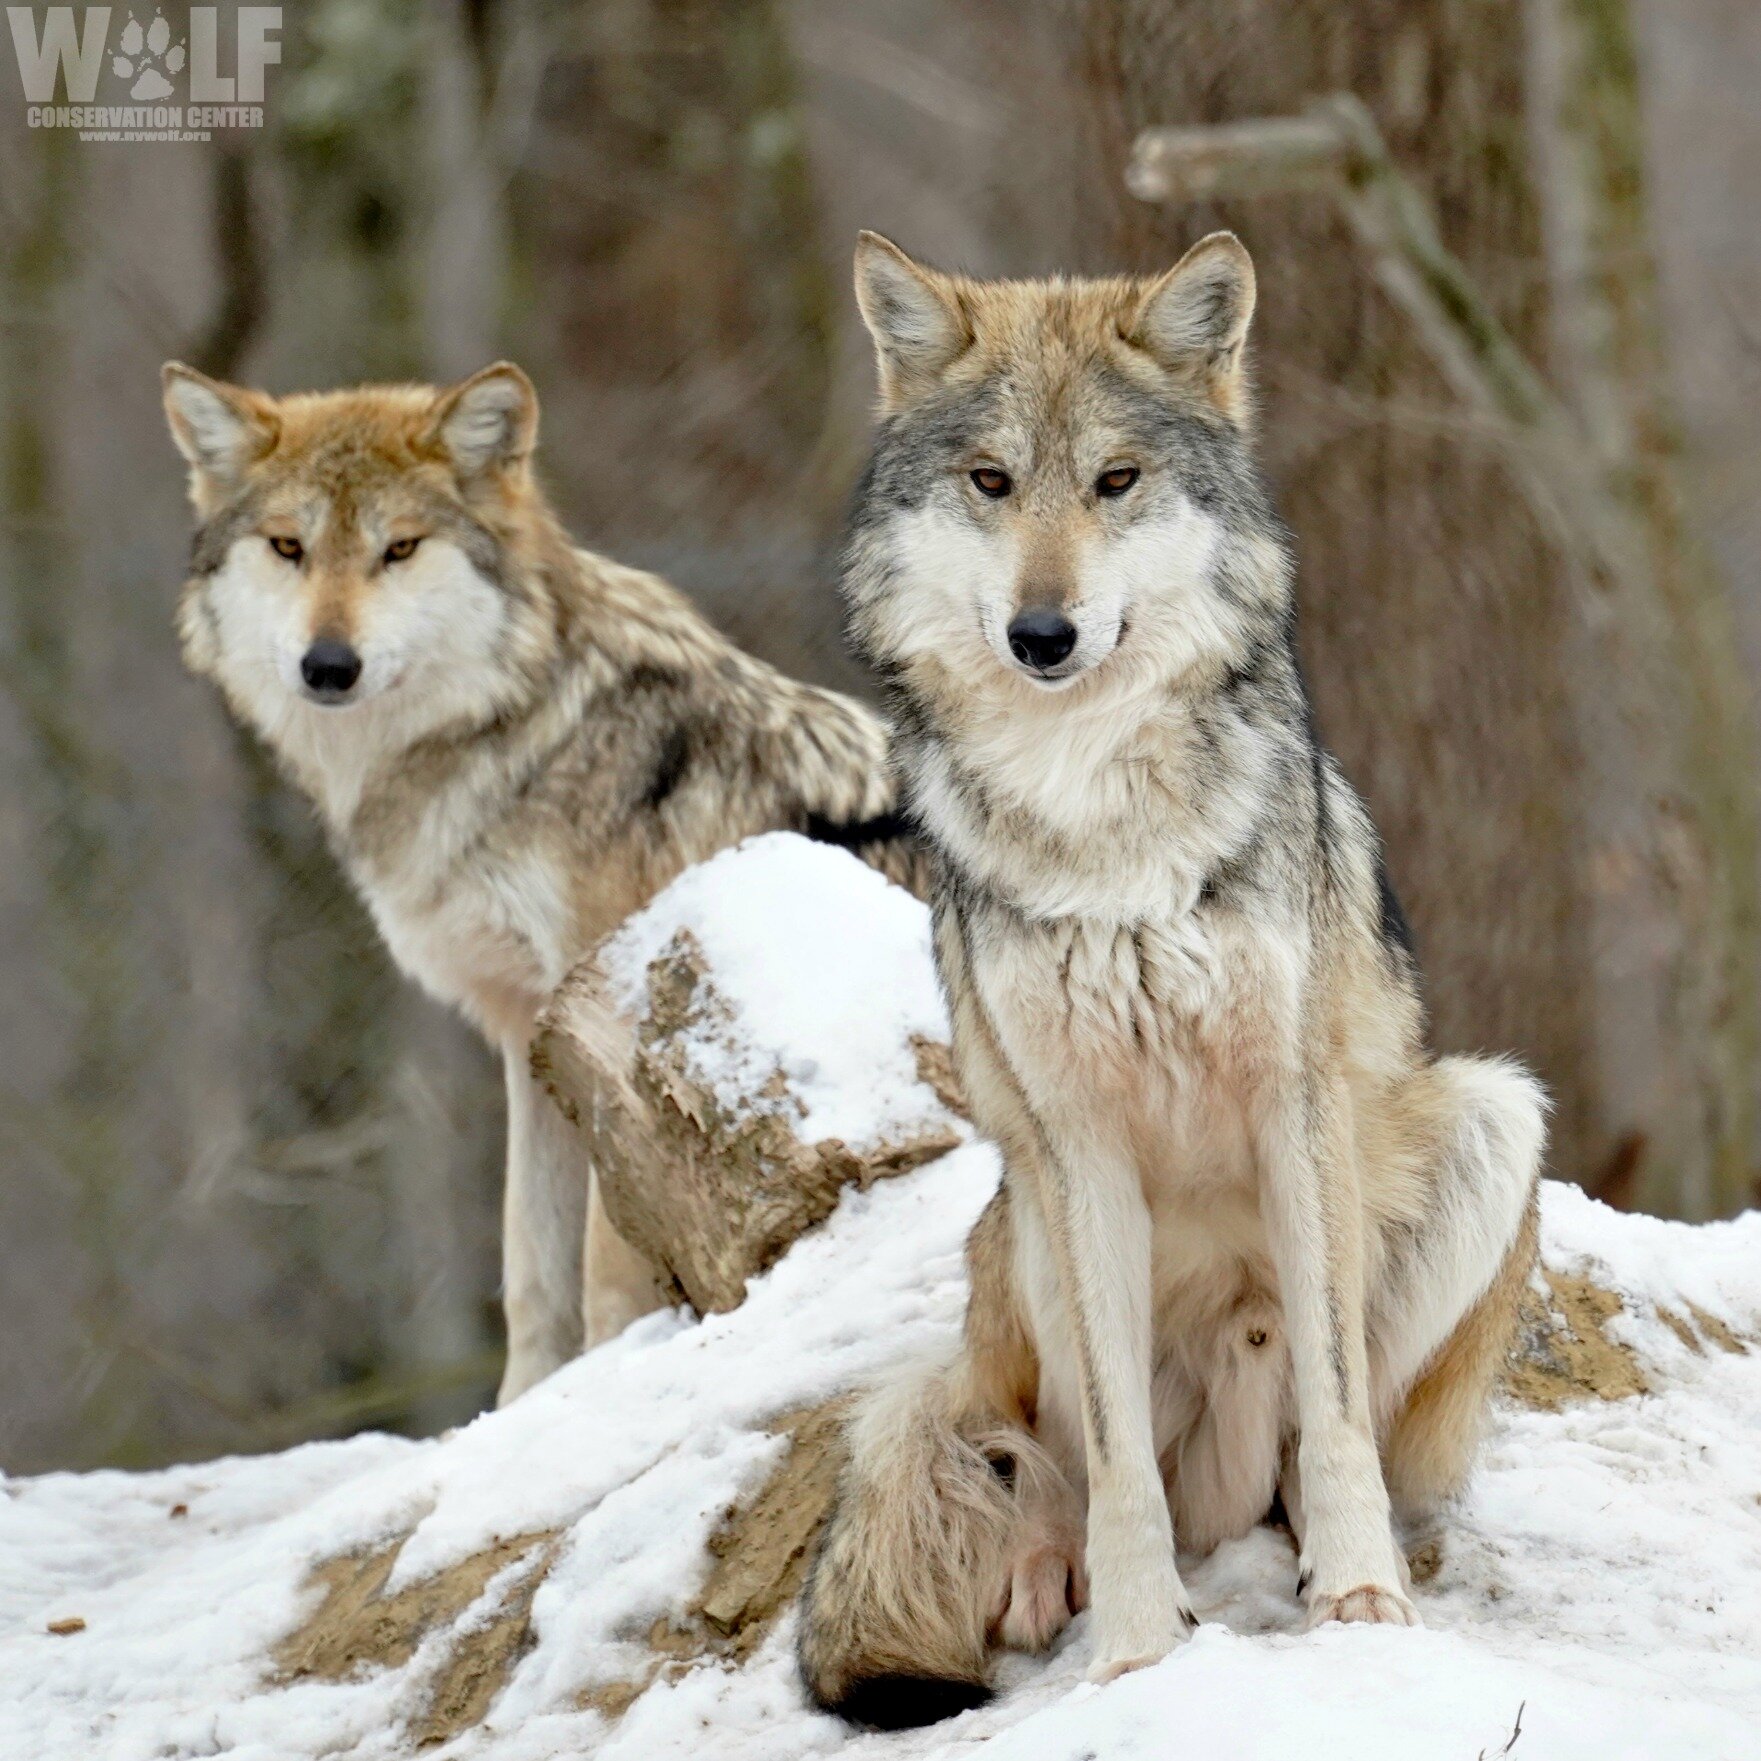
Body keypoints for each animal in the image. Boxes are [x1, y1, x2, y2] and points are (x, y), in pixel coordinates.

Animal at [161, 359, 916, 1404]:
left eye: (399, 548)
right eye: (288, 547)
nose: (328, 665)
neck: (525, 734)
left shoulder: (613, 1029)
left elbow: (604, 1272)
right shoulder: (531, 1035)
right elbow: (530, 1269)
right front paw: (520, 1415)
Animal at [796, 232, 1547, 1727]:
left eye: (1116, 481)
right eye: (991, 482)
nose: (1042, 633)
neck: (1096, 813)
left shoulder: (1296, 1105)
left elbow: (1334, 1413)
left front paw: (1360, 1605)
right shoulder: (1074, 1144)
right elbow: (1118, 1471)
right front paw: (1140, 1652)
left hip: (1489, 1117)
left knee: (1316, 1455)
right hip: (1026, 1223)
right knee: (1052, 1467)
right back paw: (1053, 1577)